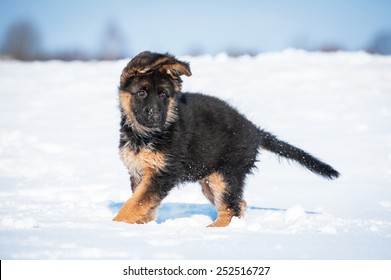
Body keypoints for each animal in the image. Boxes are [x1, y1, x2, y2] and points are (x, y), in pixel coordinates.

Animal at [113, 50, 340, 228]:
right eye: (141, 93)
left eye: (163, 95)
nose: (155, 118)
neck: (145, 136)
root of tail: (254, 130)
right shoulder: (140, 172)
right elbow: (142, 203)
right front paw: (142, 225)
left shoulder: (162, 174)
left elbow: (135, 203)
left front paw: (115, 226)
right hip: (211, 179)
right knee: (238, 205)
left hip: (225, 175)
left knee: (231, 208)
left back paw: (213, 229)